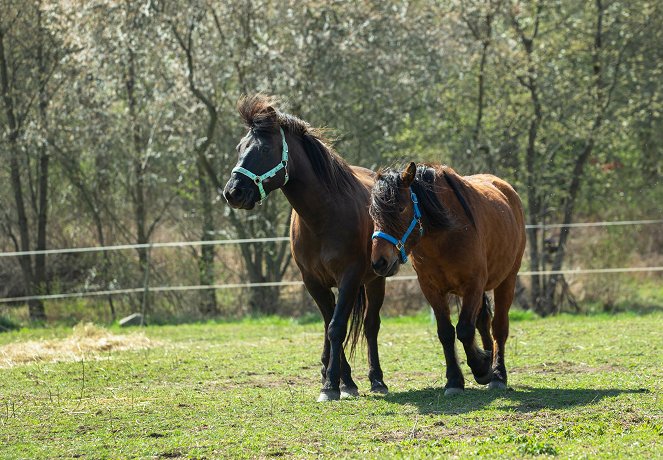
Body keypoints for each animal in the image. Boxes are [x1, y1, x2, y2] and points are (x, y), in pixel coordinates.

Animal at [223, 95, 390, 400]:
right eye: (240, 148)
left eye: (265, 149)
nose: (233, 192)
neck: (324, 216)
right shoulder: (312, 281)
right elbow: (329, 325)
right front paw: (341, 380)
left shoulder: (349, 277)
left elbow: (337, 327)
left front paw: (332, 385)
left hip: (375, 280)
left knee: (371, 326)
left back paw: (377, 380)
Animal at [370, 163, 528, 396]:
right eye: (373, 213)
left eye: (400, 209)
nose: (379, 261)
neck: (445, 235)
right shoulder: (431, 289)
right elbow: (446, 332)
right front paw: (455, 379)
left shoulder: (473, 285)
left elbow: (464, 329)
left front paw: (481, 368)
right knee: (483, 321)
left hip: (507, 280)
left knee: (499, 327)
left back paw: (498, 374)